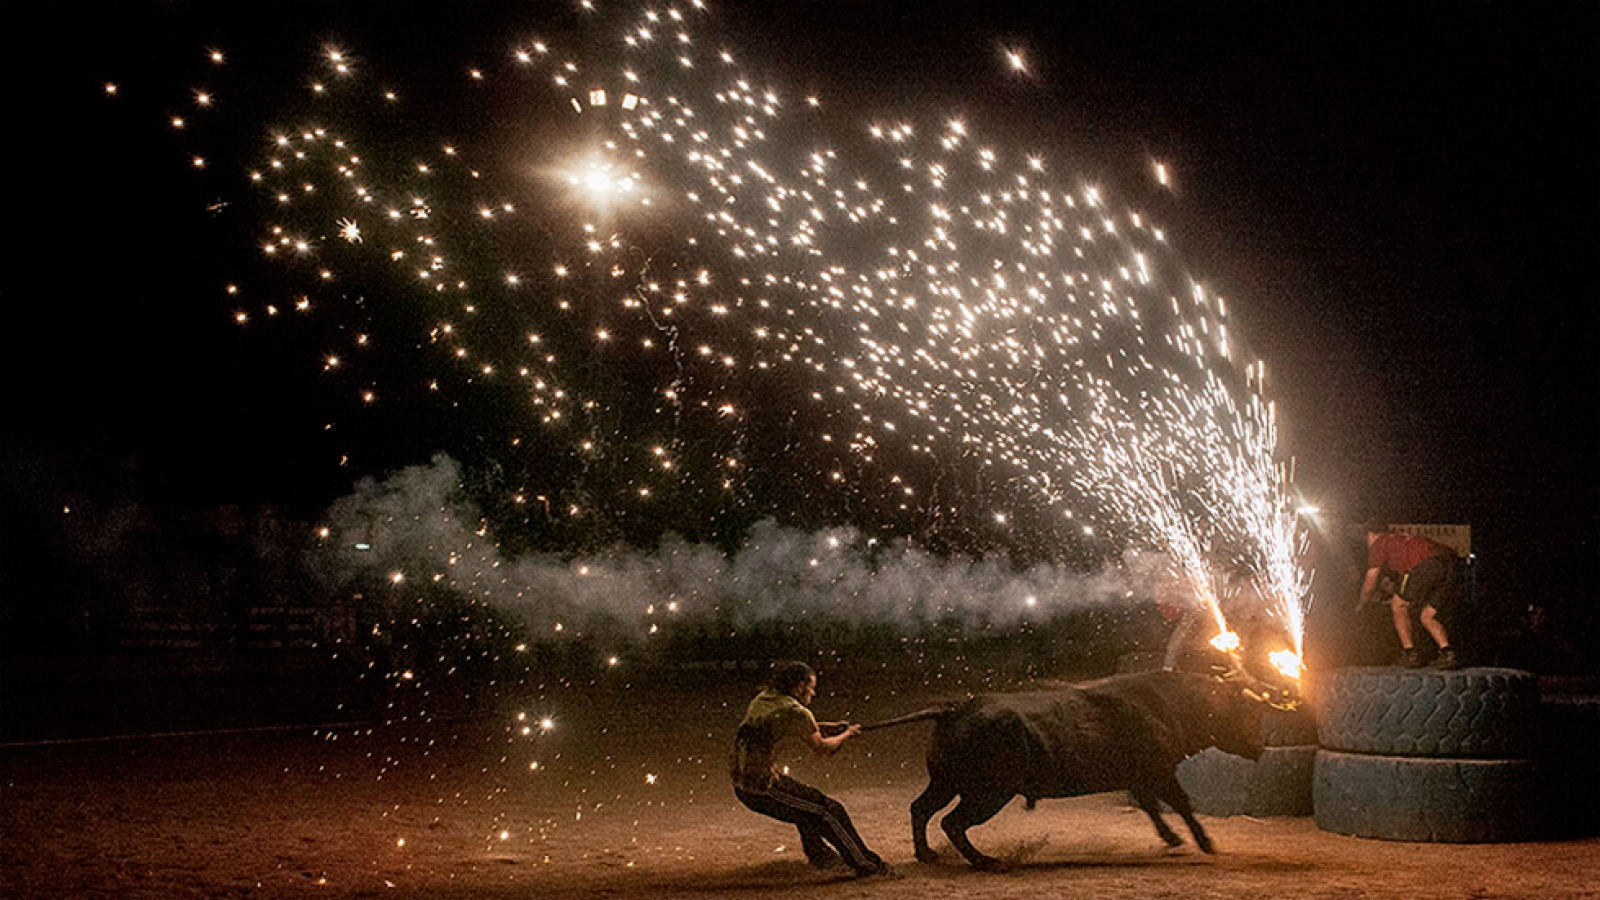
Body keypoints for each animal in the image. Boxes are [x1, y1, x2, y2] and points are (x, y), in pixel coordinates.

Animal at [864, 669, 1286, 864]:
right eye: (1246, 711)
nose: (1260, 746)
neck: (1172, 703)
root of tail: (954, 709)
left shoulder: (1141, 777)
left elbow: (1152, 807)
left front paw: (1172, 839)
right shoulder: (1160, 771)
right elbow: (1180, 803)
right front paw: (1204, 842)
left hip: (946, 783)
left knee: (921, 809)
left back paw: (927, 855)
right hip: (988, 793)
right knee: (953, 822)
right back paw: (987, 862)